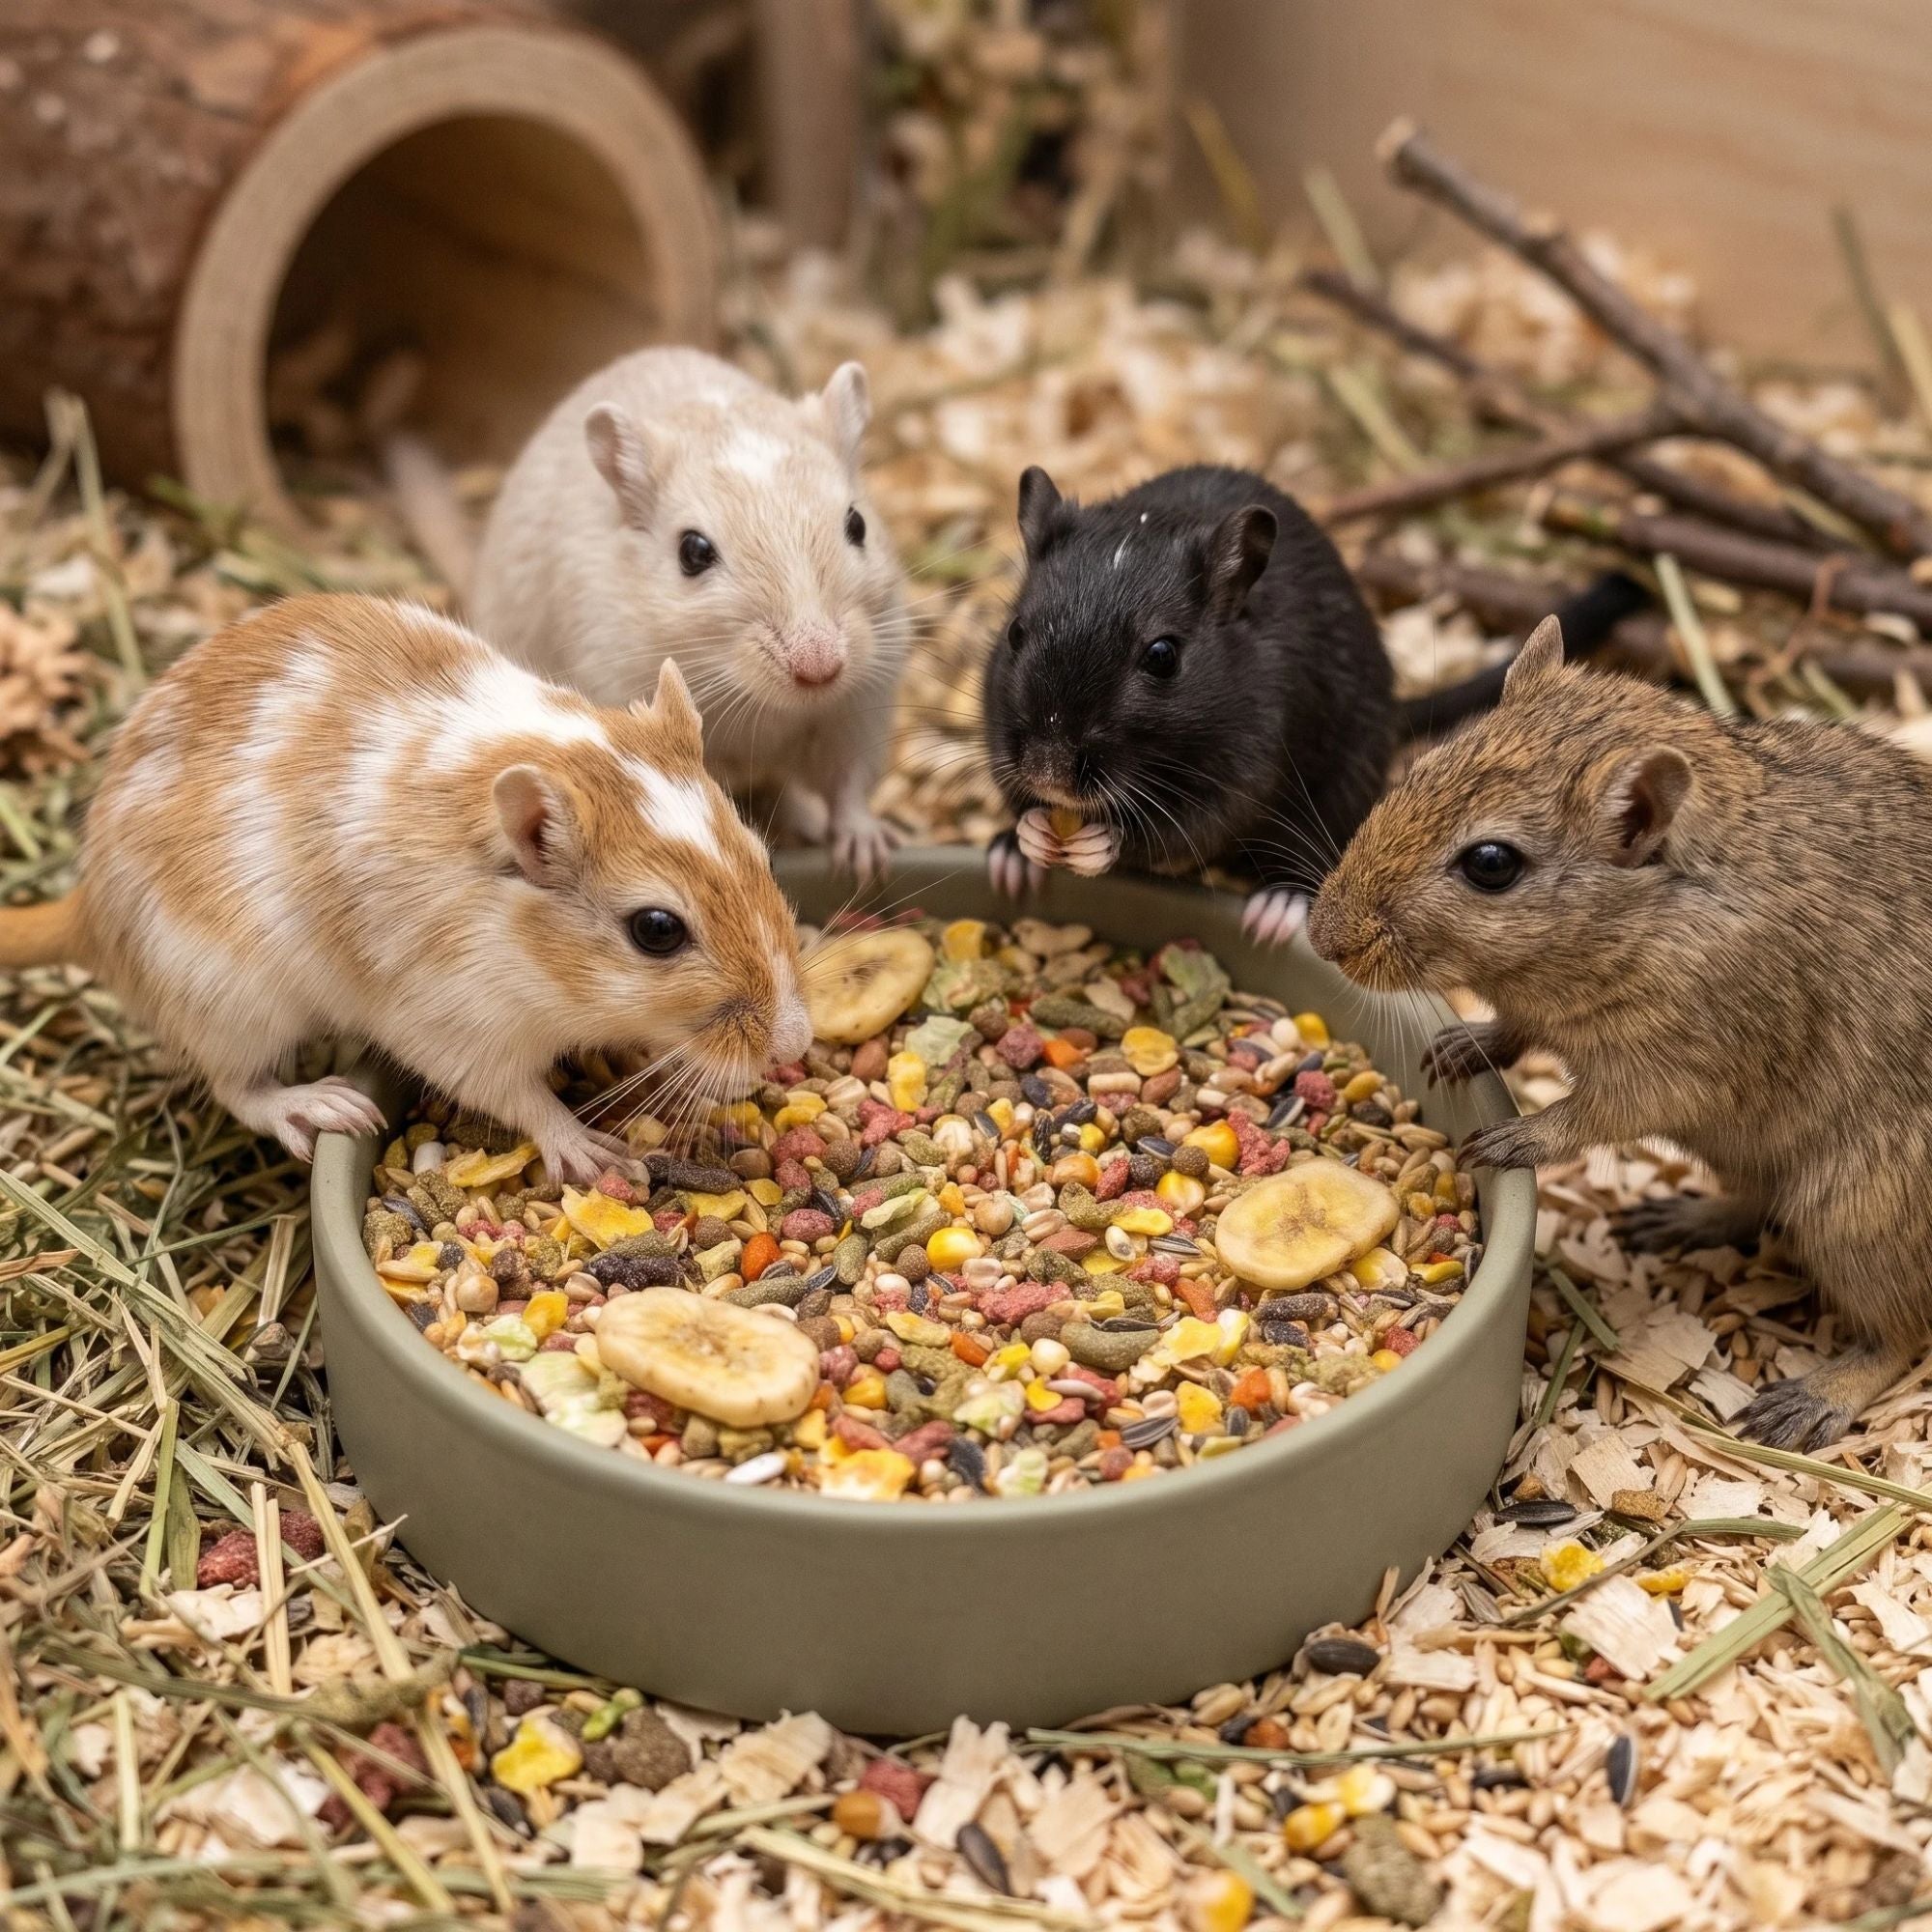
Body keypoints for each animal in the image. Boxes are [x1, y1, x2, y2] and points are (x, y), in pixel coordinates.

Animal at [0, 595, 811, 1181]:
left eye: (760, 855)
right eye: (656, 930)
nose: (797, 1043)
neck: (530, 952)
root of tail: (87, 909)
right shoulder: (456, 1025)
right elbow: (523, 1098)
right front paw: (591, 1153)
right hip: (230, 1002)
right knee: (238, 1089)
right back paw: (325, 1105)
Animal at [469, 348, 908, 878]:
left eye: (857, 524)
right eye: (693, 552)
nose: (820, 671)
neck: (765, 705)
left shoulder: (859, 704)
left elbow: (849, 784)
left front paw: (868, 859)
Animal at [1307, 616, 1932, 1450]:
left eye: (1491, 864)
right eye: (1424, 767)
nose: (1322, 935)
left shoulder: (1677, 1067)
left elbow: (1587, 1115)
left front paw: (1507, 1141)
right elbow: (1513, 1030)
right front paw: (1460, 1046)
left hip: (1855, 1214)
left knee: (1899, 1334)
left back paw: (1809, 1399)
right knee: (1757, 1203)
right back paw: (1676, 1219)